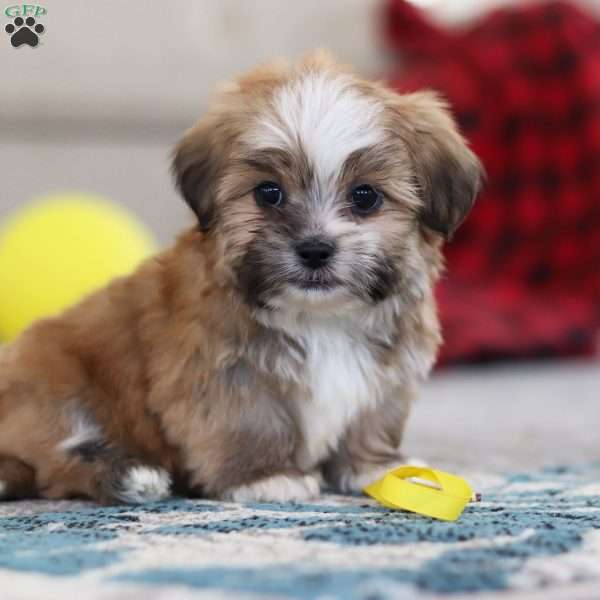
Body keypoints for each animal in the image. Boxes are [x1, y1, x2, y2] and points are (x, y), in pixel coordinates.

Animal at [0, 51, 480, 504]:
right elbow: (250, 421)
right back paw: (131, 476)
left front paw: (376, 467)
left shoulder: (389, 372)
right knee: (55, 464)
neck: (319, 318)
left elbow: (374, 417)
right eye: (268, 193)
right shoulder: (224, 374)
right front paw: (263, 476)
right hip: (50, 387)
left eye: (365, 197)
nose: (314, 248)